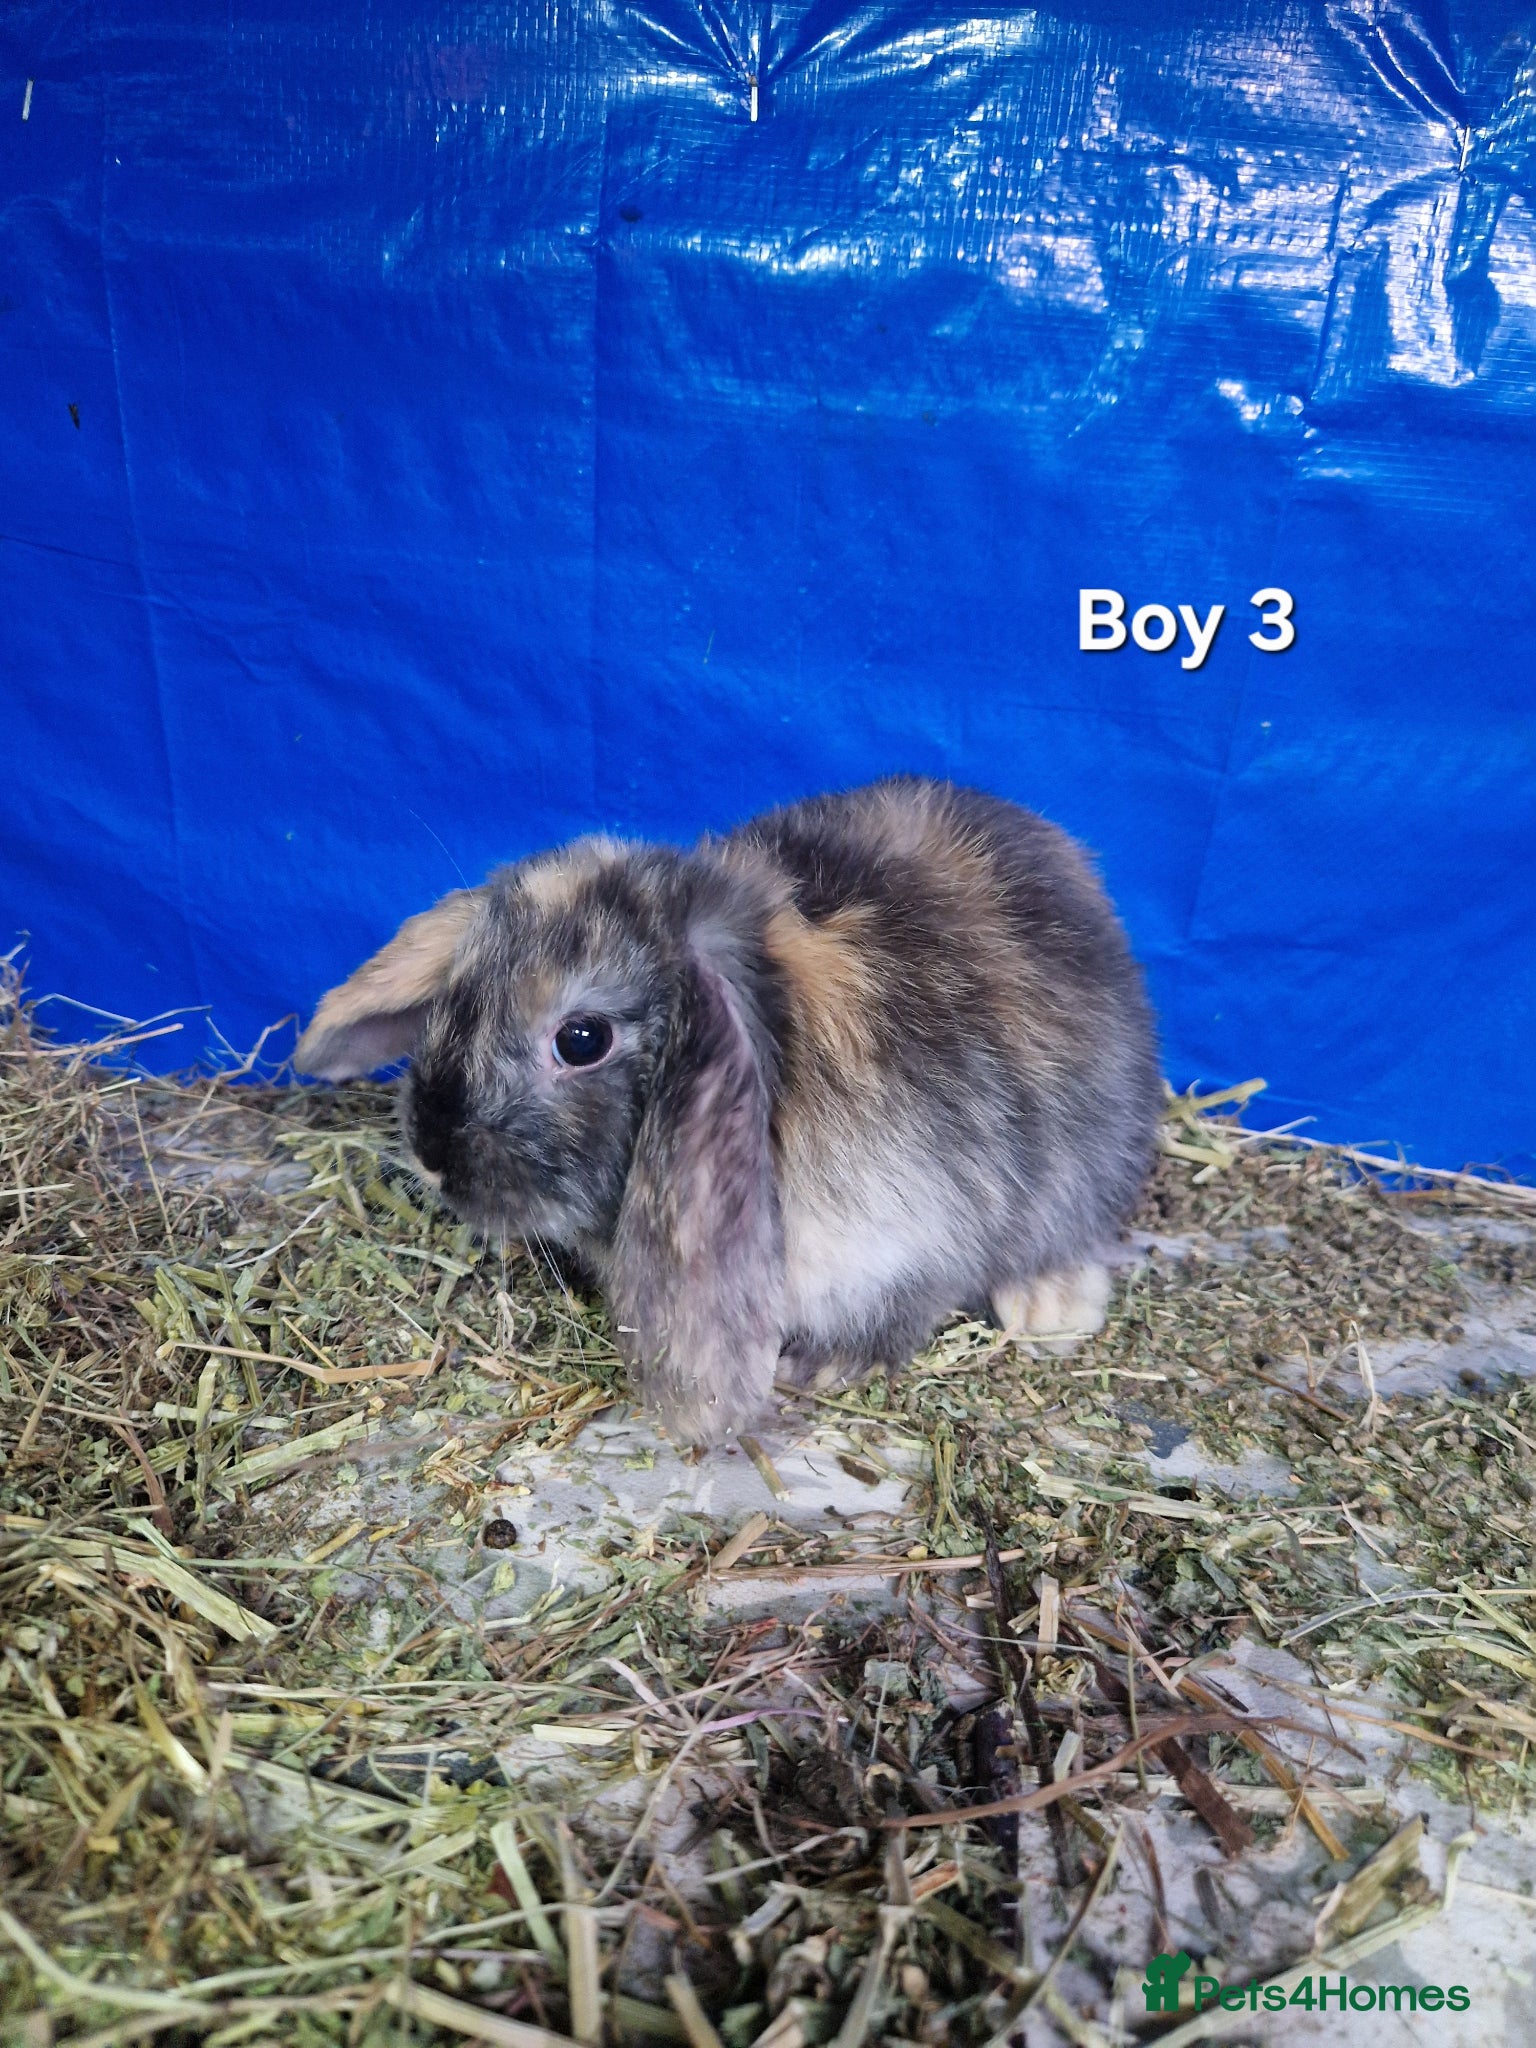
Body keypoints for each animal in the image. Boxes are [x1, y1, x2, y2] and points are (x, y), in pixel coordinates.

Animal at [294, 777, 1162, 1444]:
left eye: (582, 1039)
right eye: (459, 995)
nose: (430, 1151)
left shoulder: (913, 1239)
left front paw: (812, 1367)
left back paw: (1049, 1307)